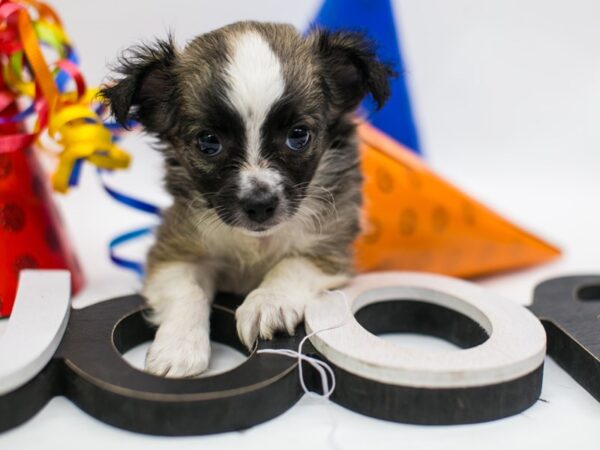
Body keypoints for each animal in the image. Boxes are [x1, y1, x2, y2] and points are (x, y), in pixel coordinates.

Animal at [102, 22, 394, 380]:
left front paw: (267, 303)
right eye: (208, 142)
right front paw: (179, 347)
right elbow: (188, 290)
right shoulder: (172, 253)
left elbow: (291, 265)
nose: (260, 205)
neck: (256, 242)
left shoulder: (331, 246)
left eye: (299, 135)